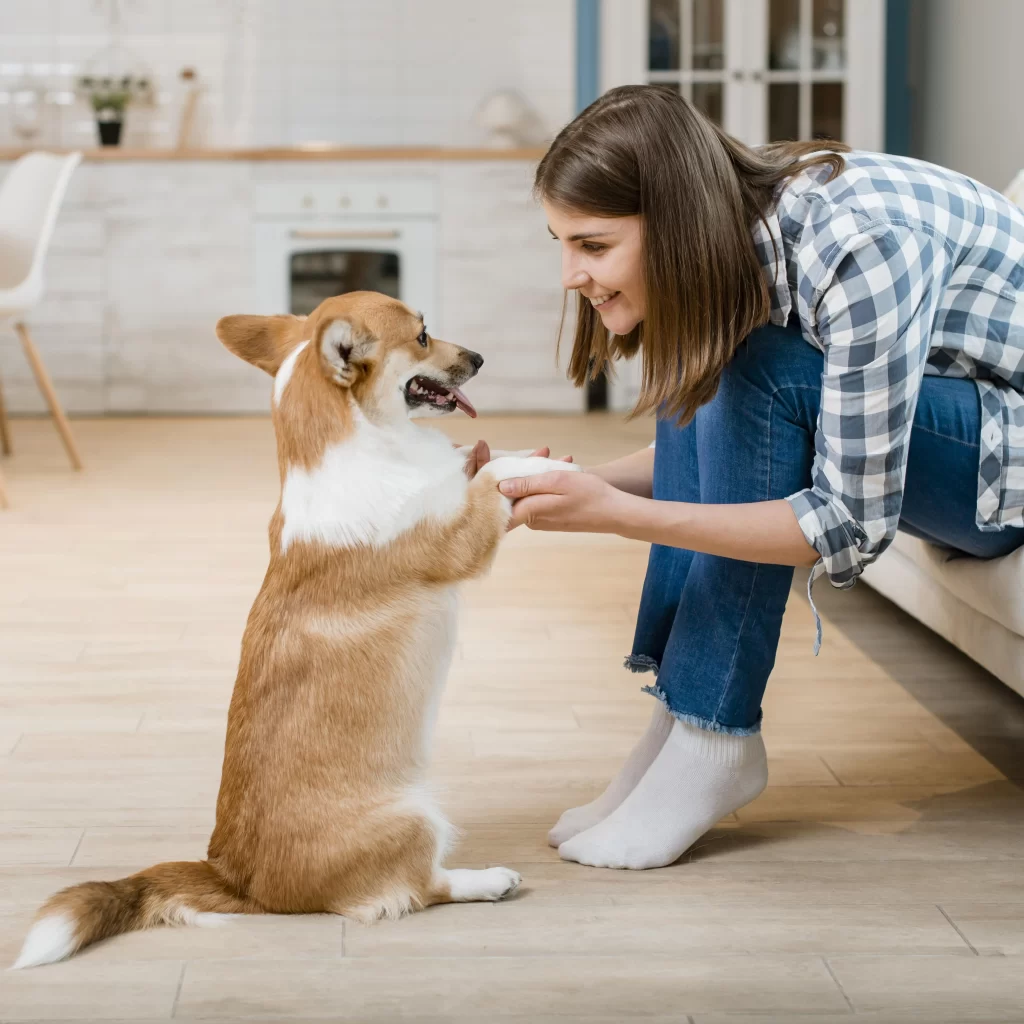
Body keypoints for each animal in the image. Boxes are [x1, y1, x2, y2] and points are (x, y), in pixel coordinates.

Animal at [16, 290, 581, 966]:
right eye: (422, 335)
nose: (477, 357)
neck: (362, 444)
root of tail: (236, 880)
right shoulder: (460, 539)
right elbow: (490, 481)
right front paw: (532, 465)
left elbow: (475, 465)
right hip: (417, 819)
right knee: (421, 888)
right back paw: (490, 880)